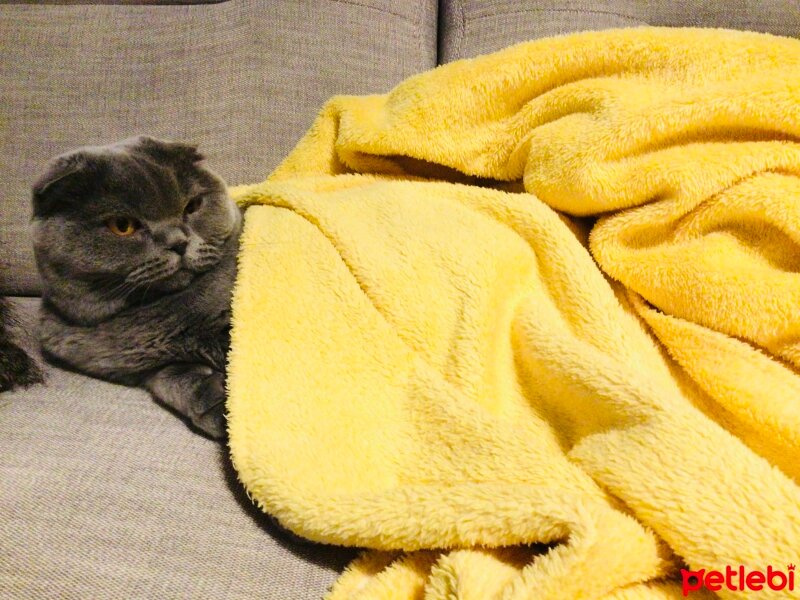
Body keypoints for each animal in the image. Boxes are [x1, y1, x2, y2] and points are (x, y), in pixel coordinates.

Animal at [31, 135, 242, 436]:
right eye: (123, 226)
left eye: (192, 206)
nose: (179, 243)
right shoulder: (153, 368)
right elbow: (174, 379)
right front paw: (218, 404)